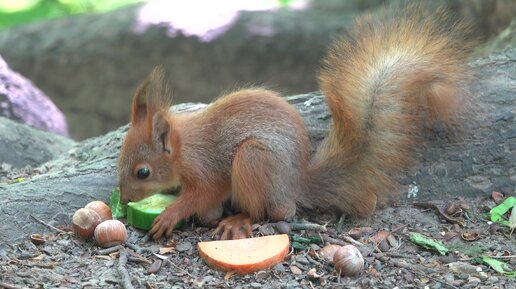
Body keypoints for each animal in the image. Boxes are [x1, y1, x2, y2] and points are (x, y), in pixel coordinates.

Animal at [117, 4, 476, 238]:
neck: (181, 148)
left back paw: (239, 219)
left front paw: (171, 213)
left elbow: (203, 193)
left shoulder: (205, 169)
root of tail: (295, 181)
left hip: (253, 160)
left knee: (272, 212)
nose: (124, 199)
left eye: (143, 172)